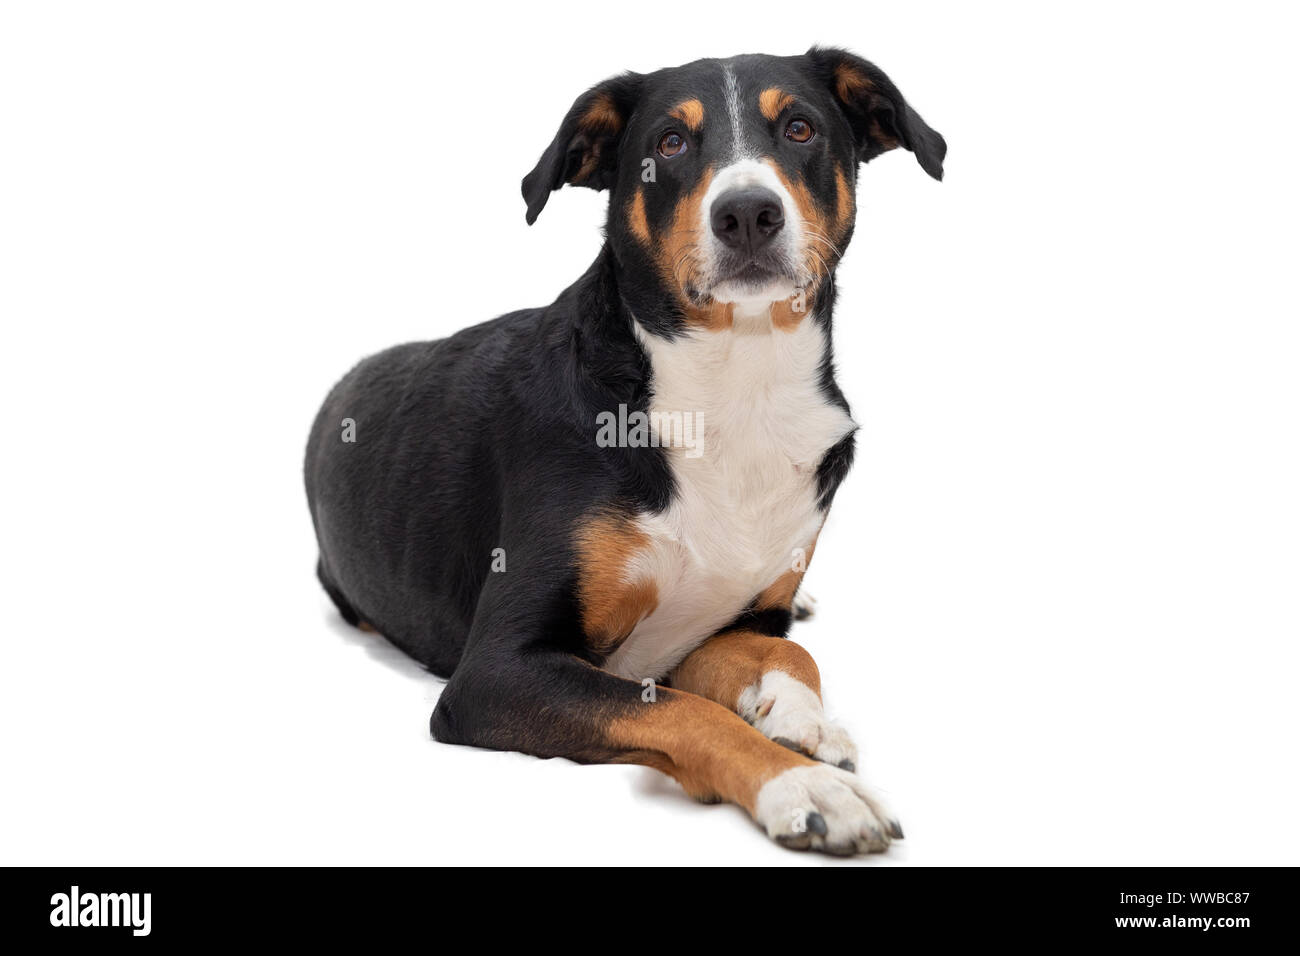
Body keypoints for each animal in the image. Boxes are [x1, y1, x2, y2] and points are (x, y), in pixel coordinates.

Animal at [301, 44, 946, 858]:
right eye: (669, 143)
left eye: (799, 128)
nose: (747, 213)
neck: (733, 390)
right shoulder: (498, 669)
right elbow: (676, 708)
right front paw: (804, 786)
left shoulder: (730, 621)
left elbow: (787, 651)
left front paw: (803, 722)